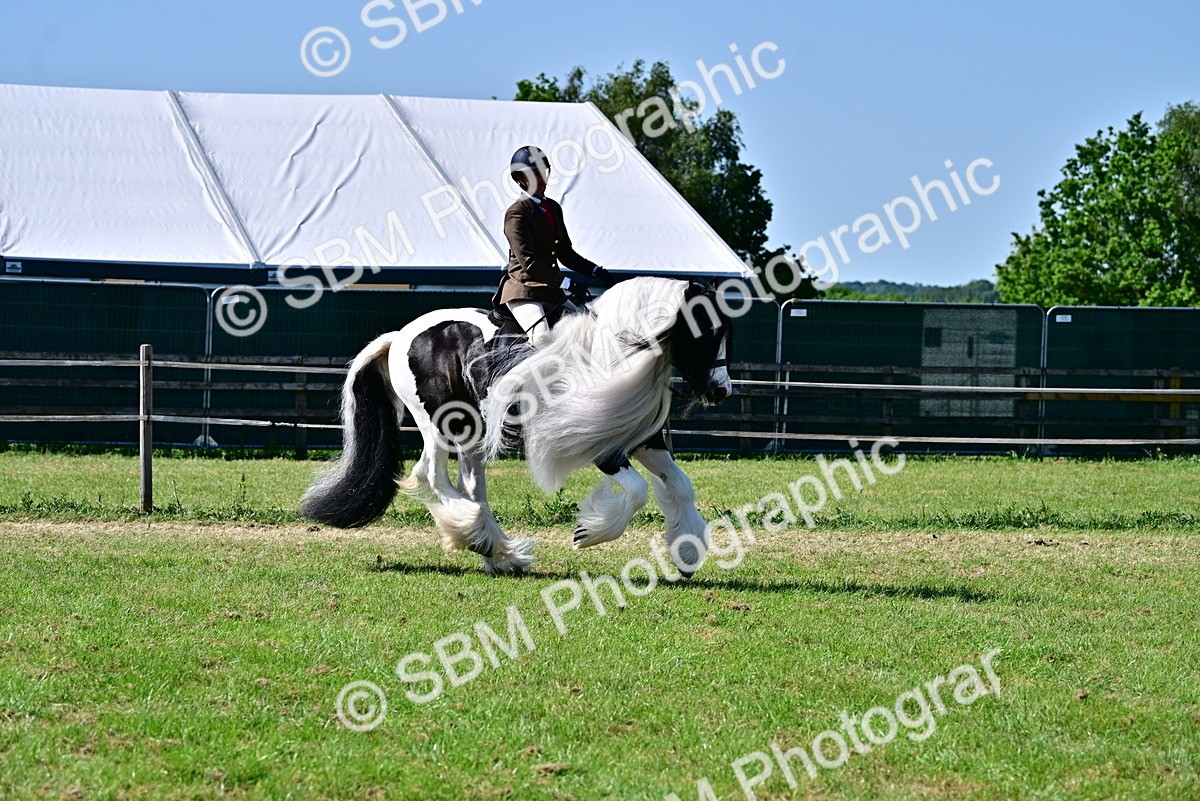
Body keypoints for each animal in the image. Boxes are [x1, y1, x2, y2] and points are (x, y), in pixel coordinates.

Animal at [299, 276, 733, 577]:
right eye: (704, 329)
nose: (722, 391)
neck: (611, 351)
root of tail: (400, 336)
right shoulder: (598, 445)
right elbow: (639, 491)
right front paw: (587, 533)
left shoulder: (642, 439)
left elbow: (679, 484)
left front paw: (687, 551)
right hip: (442, 424)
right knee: (434, 476)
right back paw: (476, 534)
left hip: (471, 433)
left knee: (470, 483)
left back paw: (497, 552)